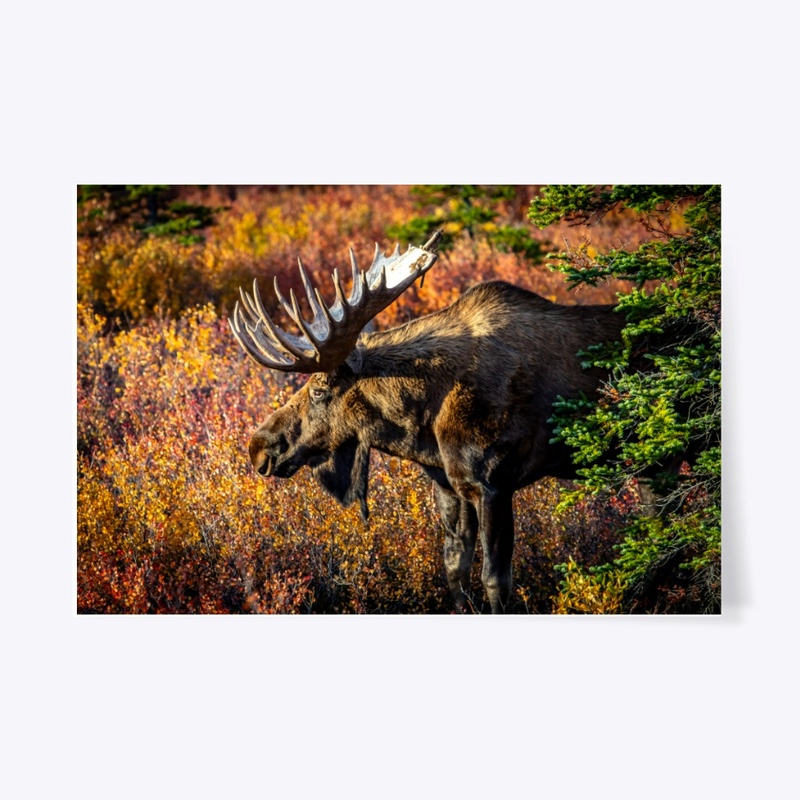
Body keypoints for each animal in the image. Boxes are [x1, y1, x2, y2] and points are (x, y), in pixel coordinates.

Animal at [229, 231, 626, 613]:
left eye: (319, 389)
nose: (258, 447)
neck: (427, 426)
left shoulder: (494, 485)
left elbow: (496, 581)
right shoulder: (451, 485)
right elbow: (455, 569)